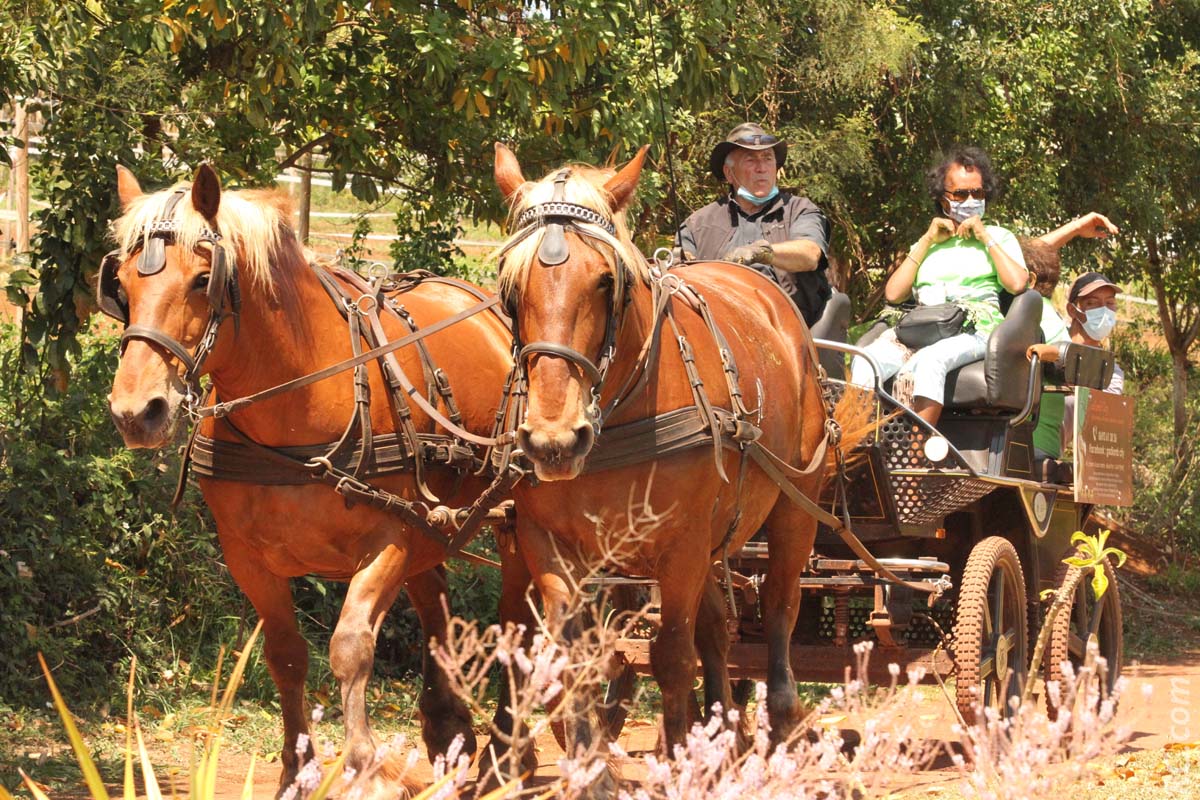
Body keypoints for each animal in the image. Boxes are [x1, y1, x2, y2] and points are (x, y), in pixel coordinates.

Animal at [110, 164, 523, 796]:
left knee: (517, 616)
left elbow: (349, 647)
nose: (137, 412)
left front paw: (363, 768)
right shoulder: (247, 557)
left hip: (506, 516)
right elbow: (286, 655)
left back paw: (505, 747)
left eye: (204, 280)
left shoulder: (388, 541)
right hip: (432, 524)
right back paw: (448, 728)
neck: (298, 397)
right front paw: (295, 769)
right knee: (435, 602)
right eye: (123, 283)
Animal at [487, 143, 835, 762]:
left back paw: (781, 719)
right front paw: (591, 762)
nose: (554, 440)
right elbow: (580, 659)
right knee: (718, 627)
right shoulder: (546, 543)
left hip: (795, 504)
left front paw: (679, 754)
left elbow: (672, 656)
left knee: (778, 607)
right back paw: (724, 732)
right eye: (510, 286)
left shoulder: (681, 547)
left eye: (606, 280)